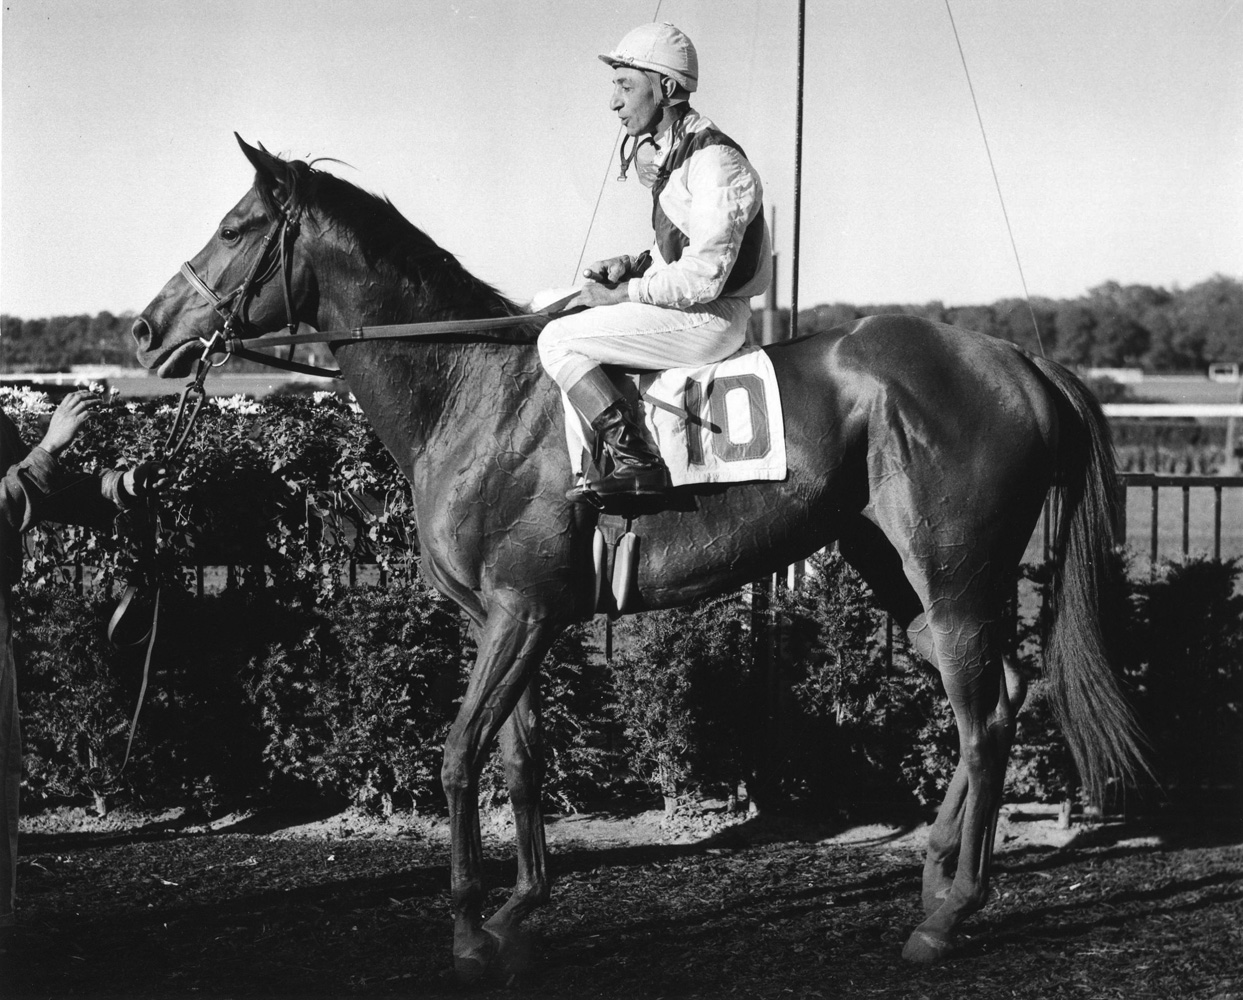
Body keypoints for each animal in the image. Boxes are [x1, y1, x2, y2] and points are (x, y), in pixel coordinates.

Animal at [128, 136, 1143, 978]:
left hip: (955, 570)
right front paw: (518, 916)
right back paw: (934, 870)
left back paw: (947, 914)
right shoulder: (515, 617)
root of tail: (1018, 361)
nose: (144, 330)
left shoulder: (521, 612)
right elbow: (519, 760)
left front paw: (468, 931)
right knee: (997, 692)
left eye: (232, 228)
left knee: (984, 718)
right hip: (890, 567)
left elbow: (457, 756)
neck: (473, 393)